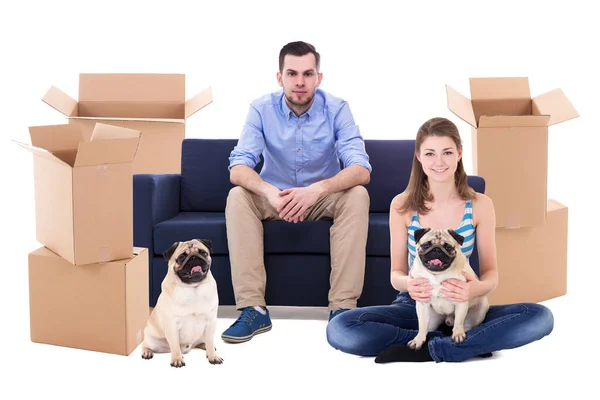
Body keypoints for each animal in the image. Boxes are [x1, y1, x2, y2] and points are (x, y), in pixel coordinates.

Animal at [141, 239, 223, 368]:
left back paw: (204, 346)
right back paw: (147, 352)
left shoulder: (211, 321)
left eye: (203, 253)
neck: (193, 288)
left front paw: (213, 356)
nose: (194, 257)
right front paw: (177, 359)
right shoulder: (172, 324)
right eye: (181, 257)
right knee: (145, 345)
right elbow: (174, 345)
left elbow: (210, 340)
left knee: (202, 342)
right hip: (152, 339)